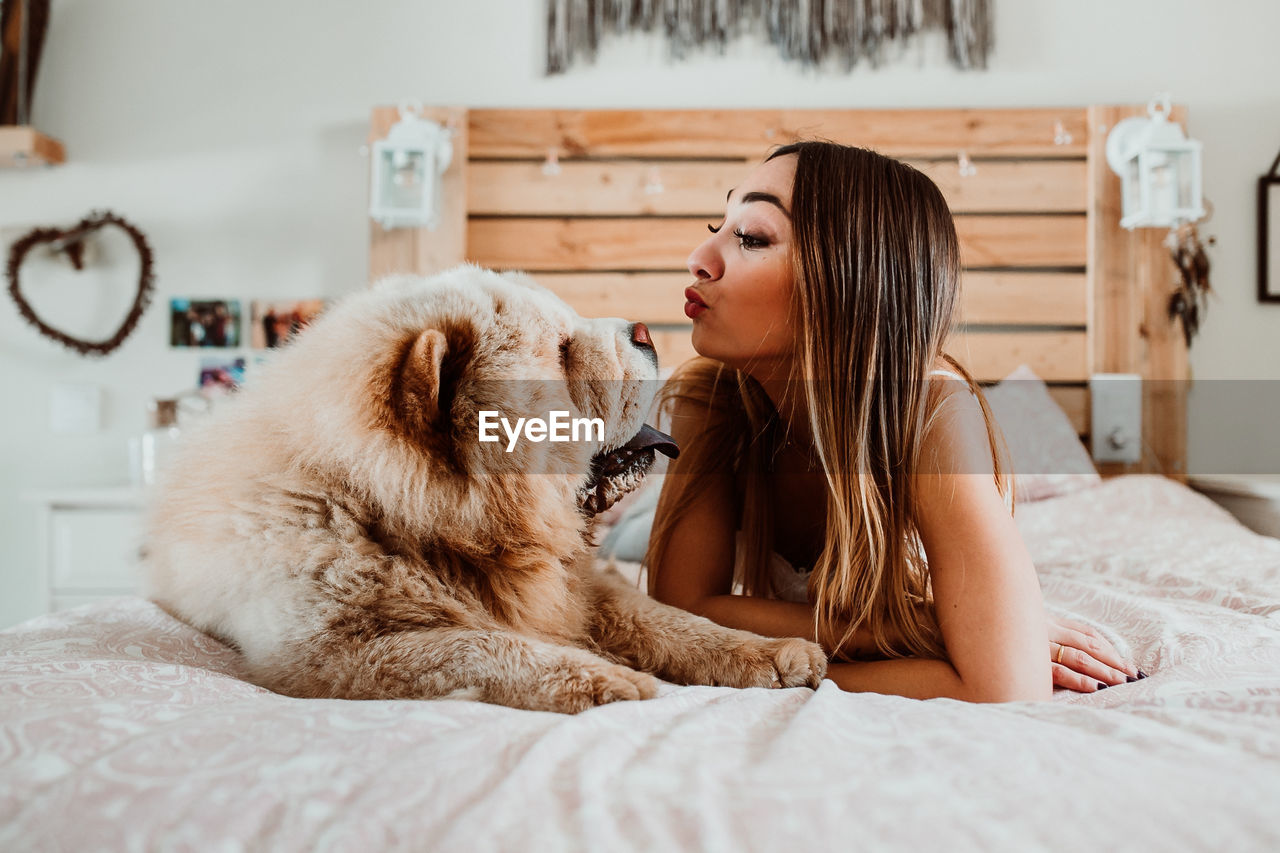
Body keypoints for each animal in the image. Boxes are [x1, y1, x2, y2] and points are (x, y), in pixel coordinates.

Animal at [137, 266, 819, 712]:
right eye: (563, 352)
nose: (648, 330)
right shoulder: (327, 654)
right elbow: (480, 645)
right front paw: (607, 680)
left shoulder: (581, 587)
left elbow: (672, 619)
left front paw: (779, 653)